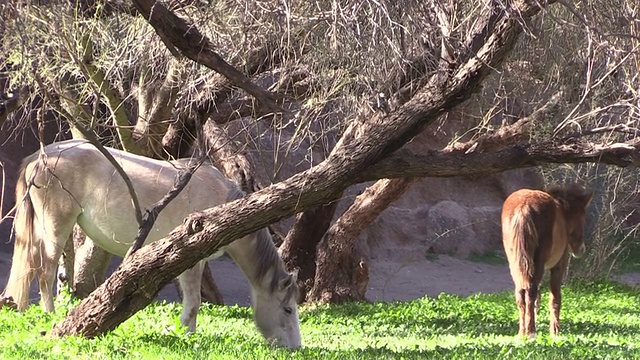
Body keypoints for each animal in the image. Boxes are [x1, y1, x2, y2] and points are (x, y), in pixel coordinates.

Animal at [1, 139, 302, 348]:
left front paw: (189, 333)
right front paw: (186, 335)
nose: (295, 348)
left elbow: (193, 302)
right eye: (287, 309)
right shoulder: (192, 259)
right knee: (46, 270)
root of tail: (41, 156)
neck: (223, 201)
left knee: (31, 266)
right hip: (56, 227)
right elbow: (194, 303)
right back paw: (50, 313)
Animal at [502, 184, 592, 338]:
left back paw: (522, 332)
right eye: (582, 219)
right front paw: (555, 331)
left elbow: (537, 299)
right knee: (530, 291)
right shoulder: (558, 265)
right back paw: (531, 332)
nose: (581, 249)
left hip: (516, 263)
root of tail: (524, 207)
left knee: (521, 293)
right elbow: (555, 298)